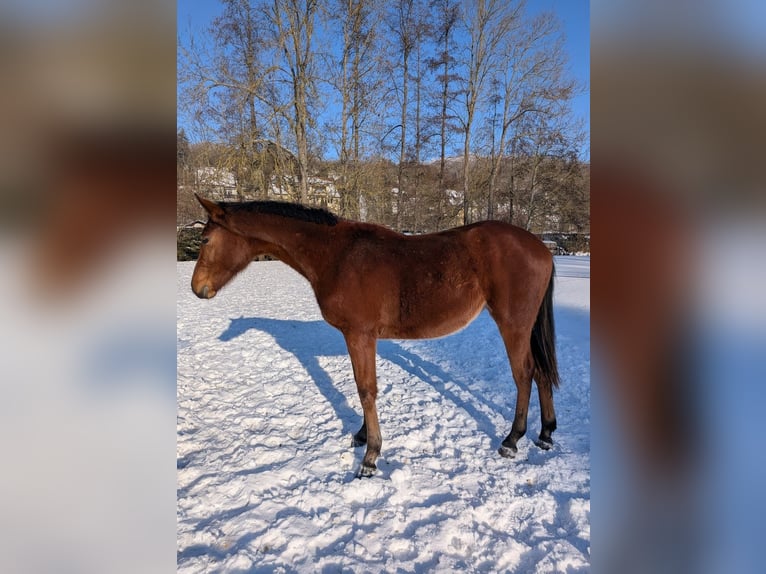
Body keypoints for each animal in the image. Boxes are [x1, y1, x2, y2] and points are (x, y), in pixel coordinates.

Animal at [191, 194, 560, 477]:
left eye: (206, 240)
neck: (336, 255)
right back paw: (546, 433)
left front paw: (370, 456)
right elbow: (364, 389)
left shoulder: (359, 335)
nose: (197, 289)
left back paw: (512, 440)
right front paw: (361, 436)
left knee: (524, 374)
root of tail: (542, 248)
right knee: (542, 373)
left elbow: (366, 390)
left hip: (513, 325)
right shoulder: (361, 338)